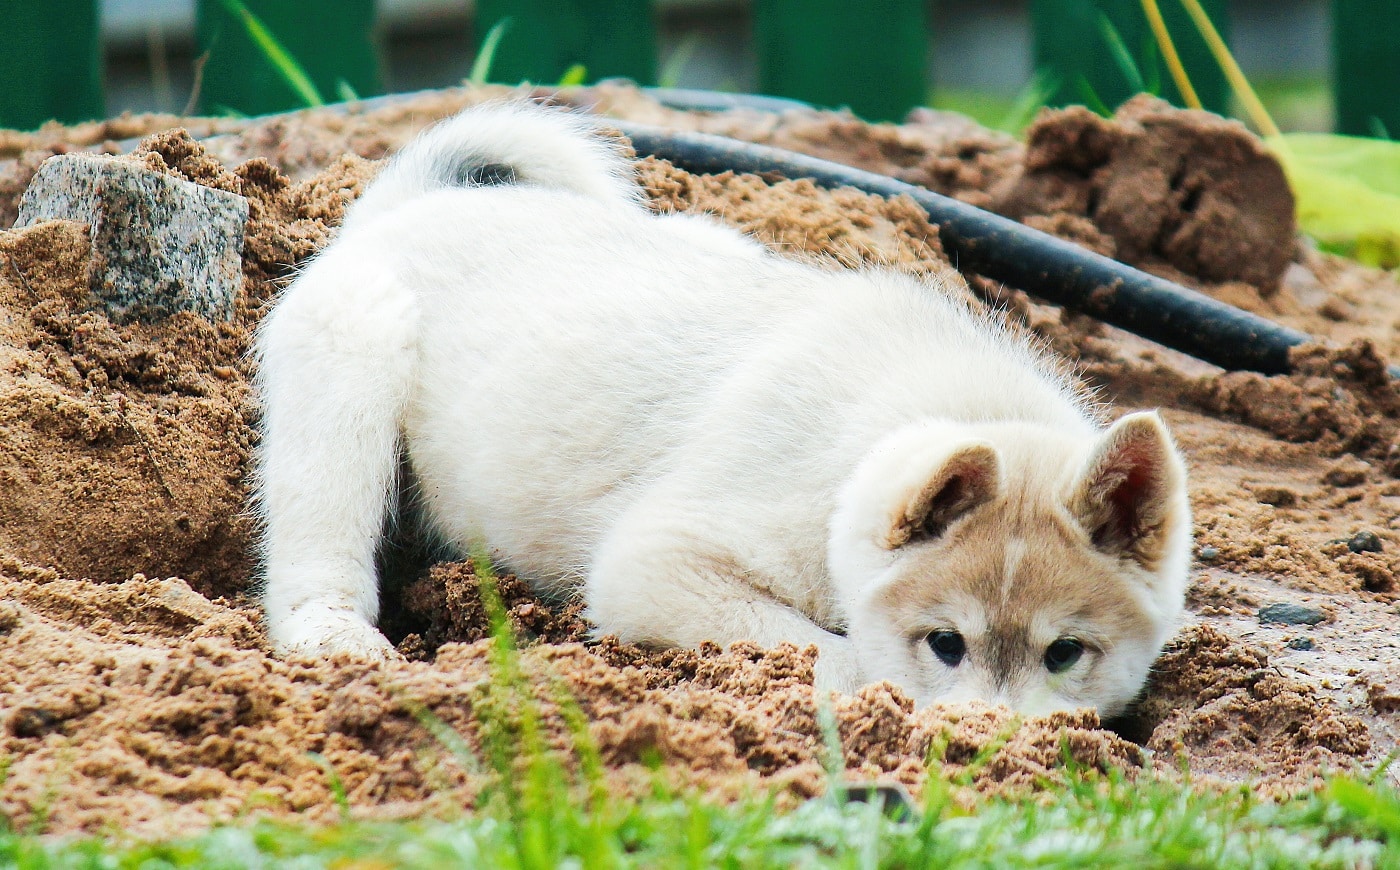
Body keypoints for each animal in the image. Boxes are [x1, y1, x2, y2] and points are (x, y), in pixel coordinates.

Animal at [254, 101, 1192, 717]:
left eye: (1064, 653)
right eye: (945, 644)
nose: (986, 749)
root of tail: (413, 202)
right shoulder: (652, 563)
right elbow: (835, 654)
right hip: (351, 367)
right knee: (317, 541)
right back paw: (335, 636)